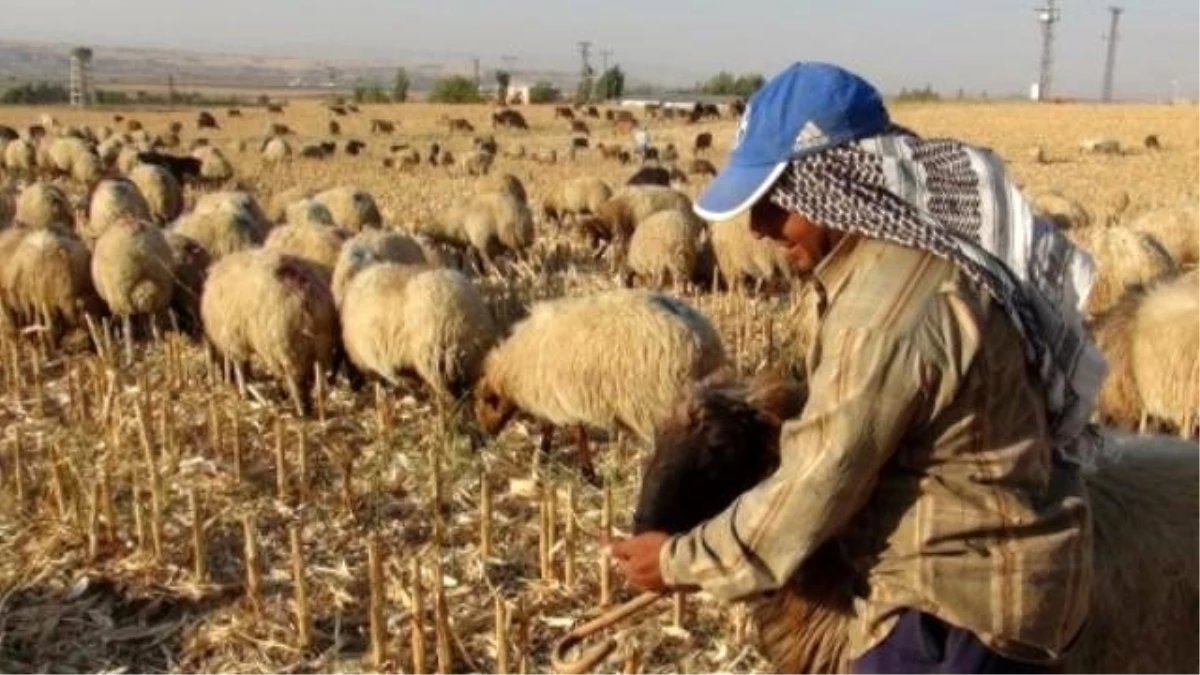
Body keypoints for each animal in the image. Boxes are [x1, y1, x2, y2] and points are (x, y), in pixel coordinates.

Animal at [199, 247, 336, 415]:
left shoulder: (236, 339)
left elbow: (241, 370)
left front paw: (246, 394)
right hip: (319, 343)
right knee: (317, 375)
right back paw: (319, 403)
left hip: (286, 345)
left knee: (296, 380)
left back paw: (302, 410)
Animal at [472, 285, 724, 475]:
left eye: (485, 403)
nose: (478, 441)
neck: (513, 369)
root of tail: (702, 341)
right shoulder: (558, 397)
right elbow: (552, 428)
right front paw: (544, 460)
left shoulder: (562, 397)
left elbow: (575, 432)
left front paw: (587, 474)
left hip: (659, 402)